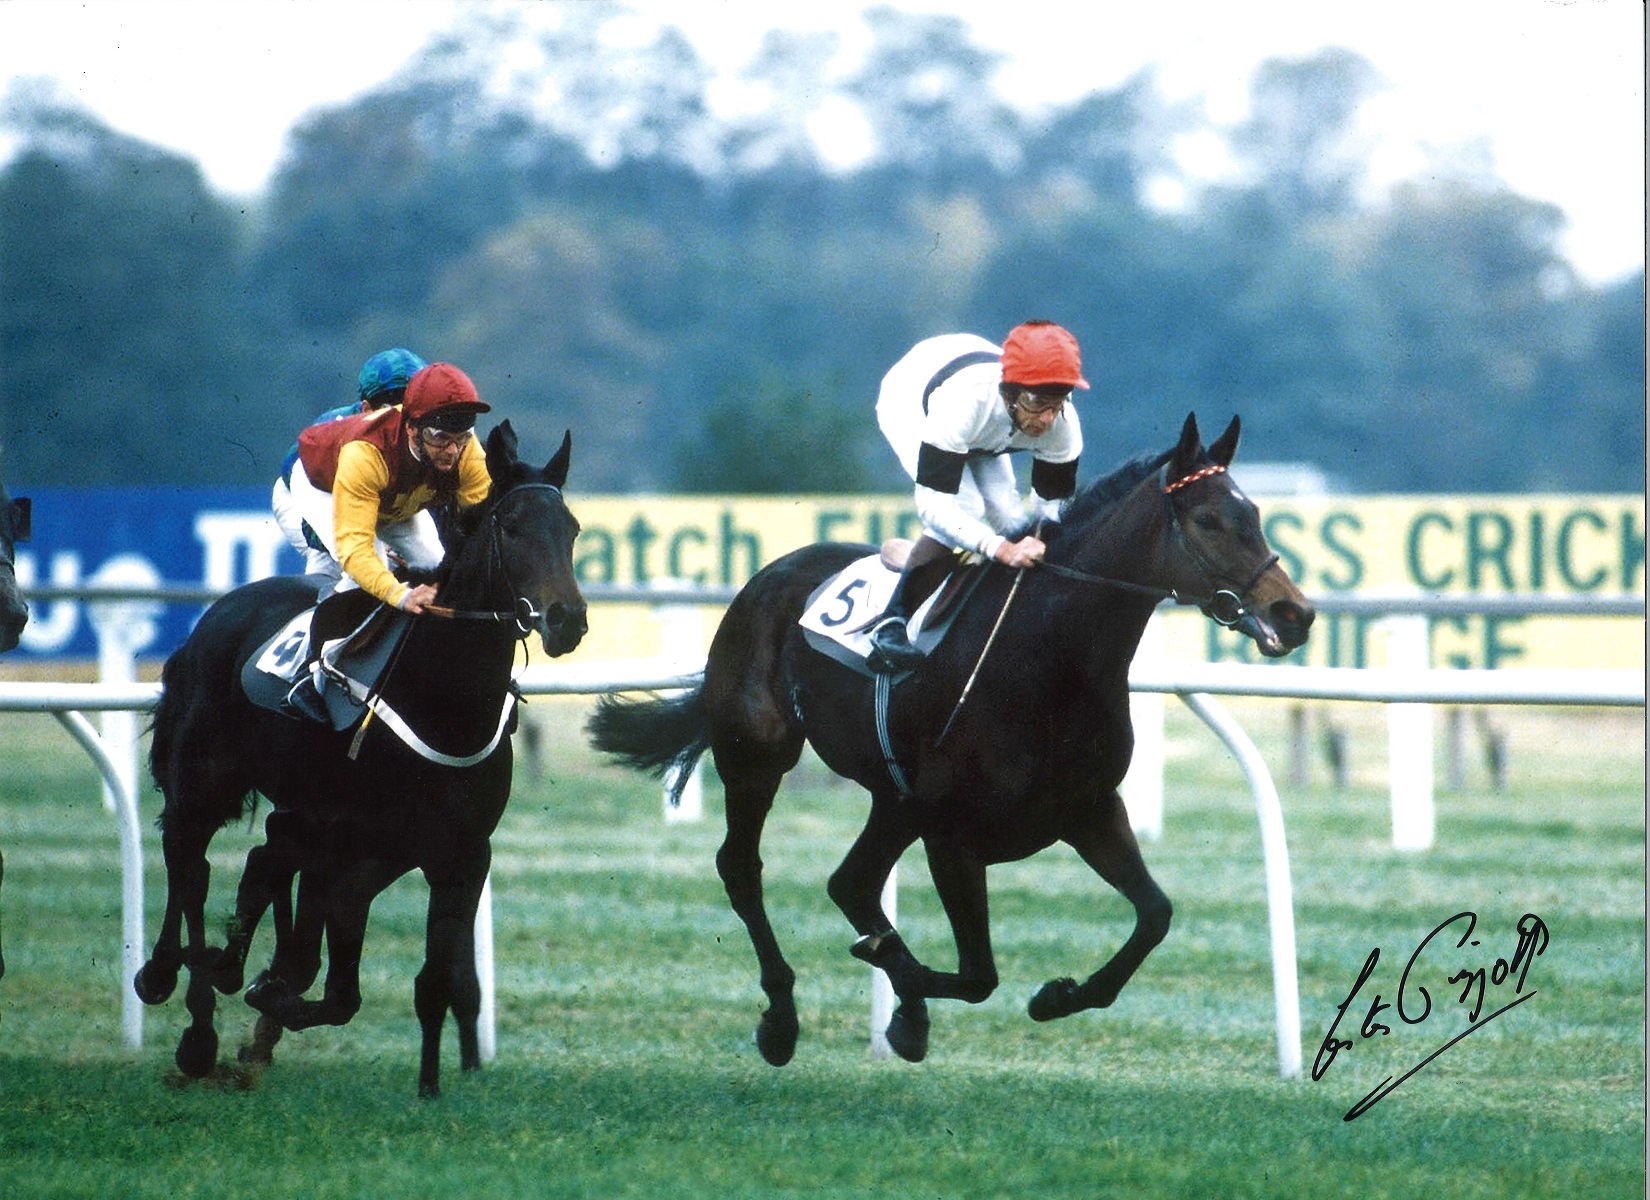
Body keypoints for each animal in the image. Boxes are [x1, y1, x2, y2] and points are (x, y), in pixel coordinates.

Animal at [135, 425, 587, 1096]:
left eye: (573, 528)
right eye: (511, 528)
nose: (567, 620)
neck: (439, 699)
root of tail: (211, 620)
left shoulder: (457, 854)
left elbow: (427, 982)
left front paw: (429, 1089)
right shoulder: (352, 846)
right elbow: (332, 980)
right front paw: (257, 996)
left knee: (261, 858)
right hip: (203, 785)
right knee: (189, 867)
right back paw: (184, 1010)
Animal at [594, 417, 1313, 1062]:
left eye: (1256, 515)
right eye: (1211, 521)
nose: (1295, 614)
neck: (1048, 658)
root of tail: (767, 577)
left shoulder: (1089, 810)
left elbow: (1155, 914)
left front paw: (1057, 996)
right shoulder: (951, 834)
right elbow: (978, 975)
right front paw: (900, 978)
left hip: (893, 798)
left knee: (851, 883)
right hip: (759, 755)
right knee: (747, 868)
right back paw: (783, 1018)